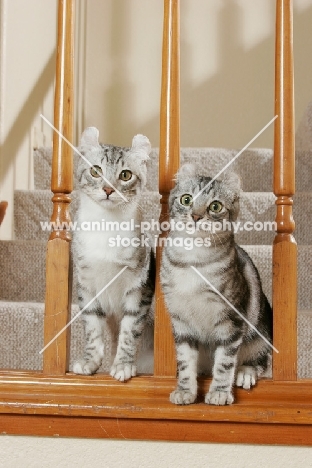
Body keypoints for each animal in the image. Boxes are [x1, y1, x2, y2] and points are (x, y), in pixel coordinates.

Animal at [73, 127, 156, 380]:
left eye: (125, 175)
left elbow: (129, 330)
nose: (108, 189)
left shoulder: (138, 286)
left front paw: (123, 365)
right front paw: (90, 361)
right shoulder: (86, 284)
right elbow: (93, 328)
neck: (105, 224)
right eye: (96, 171)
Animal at [161, 163, 272, 404]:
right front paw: (185, 390)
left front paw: (219, 392)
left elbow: (224, 362)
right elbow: (185, 361)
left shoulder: (231, 321)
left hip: (259, 333)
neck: (192, 260)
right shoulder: (181, 322)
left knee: (260, 361)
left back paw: (245, 373)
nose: (195, 216)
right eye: (186, 199)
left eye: (215, 206)